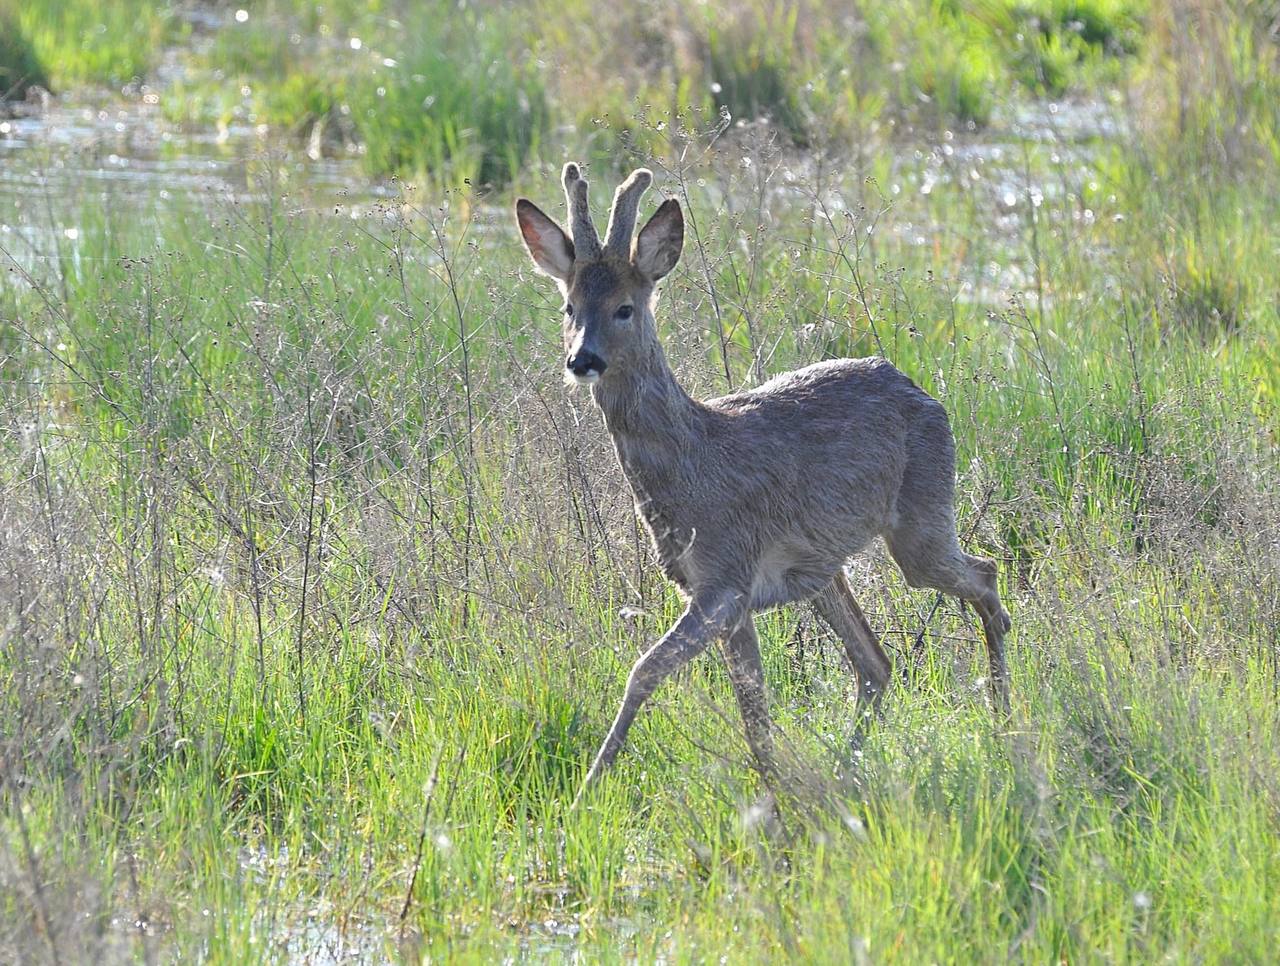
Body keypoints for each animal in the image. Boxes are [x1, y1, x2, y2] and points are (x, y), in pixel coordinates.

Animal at [512, 163, 1008, 803]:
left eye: (624, 307)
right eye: (569, 308)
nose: (582, 360)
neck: (690, 464)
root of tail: (923, 393)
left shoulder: (724, 578)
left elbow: (644, 671)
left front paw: (588, 788)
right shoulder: (724, 593)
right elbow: (753, 711)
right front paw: (771, 792)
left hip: (922, 520)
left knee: (985, 576)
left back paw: (1004, 718)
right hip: (823, 569)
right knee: (876, 663)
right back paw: (847, 768)